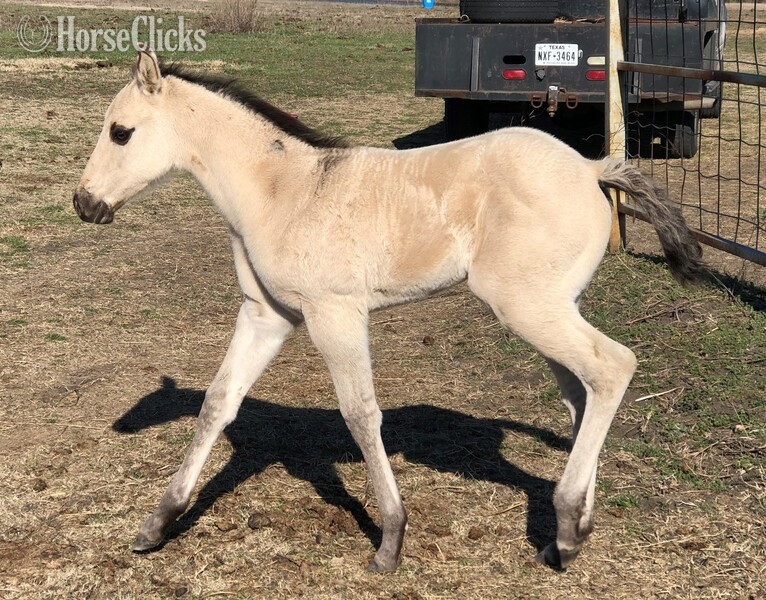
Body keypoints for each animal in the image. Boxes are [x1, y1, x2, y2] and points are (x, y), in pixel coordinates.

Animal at [73, 49, 705, 573]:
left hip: (527, 307)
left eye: (121, 132)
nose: (84, 204)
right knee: (581, 394)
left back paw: (570, 527)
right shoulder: (266, 316)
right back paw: (569, 533)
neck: (282, 193)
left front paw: (391, 541)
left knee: (613, 367)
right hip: (553, 307)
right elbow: (217, 404)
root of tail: (591, 168)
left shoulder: (334, 315)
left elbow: (360, 415)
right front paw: (157, 524)